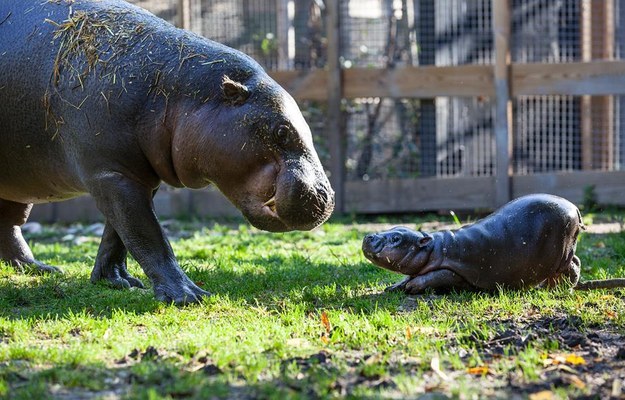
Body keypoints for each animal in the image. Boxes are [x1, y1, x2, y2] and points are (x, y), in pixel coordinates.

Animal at [0, 0, 334, 304]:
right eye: (282, 131)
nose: (325, 195)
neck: (172, 92)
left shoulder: (136, 177)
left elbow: (117, 235)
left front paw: (117, 281)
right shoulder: (113, 175)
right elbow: (148, 234)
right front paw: (190, 295)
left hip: (17, 184)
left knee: (10, 225)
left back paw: (39, 268)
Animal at [360, 194, 624, 294]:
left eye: (396, 238)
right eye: (392, 229)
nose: (368, 236)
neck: (433, 246)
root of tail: (576, 209)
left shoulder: (455, 270)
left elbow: (435, 275)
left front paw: (413, 287)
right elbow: (408, 274)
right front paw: (394, 286)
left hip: (563, 253)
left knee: (574, 265)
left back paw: (559, 289)